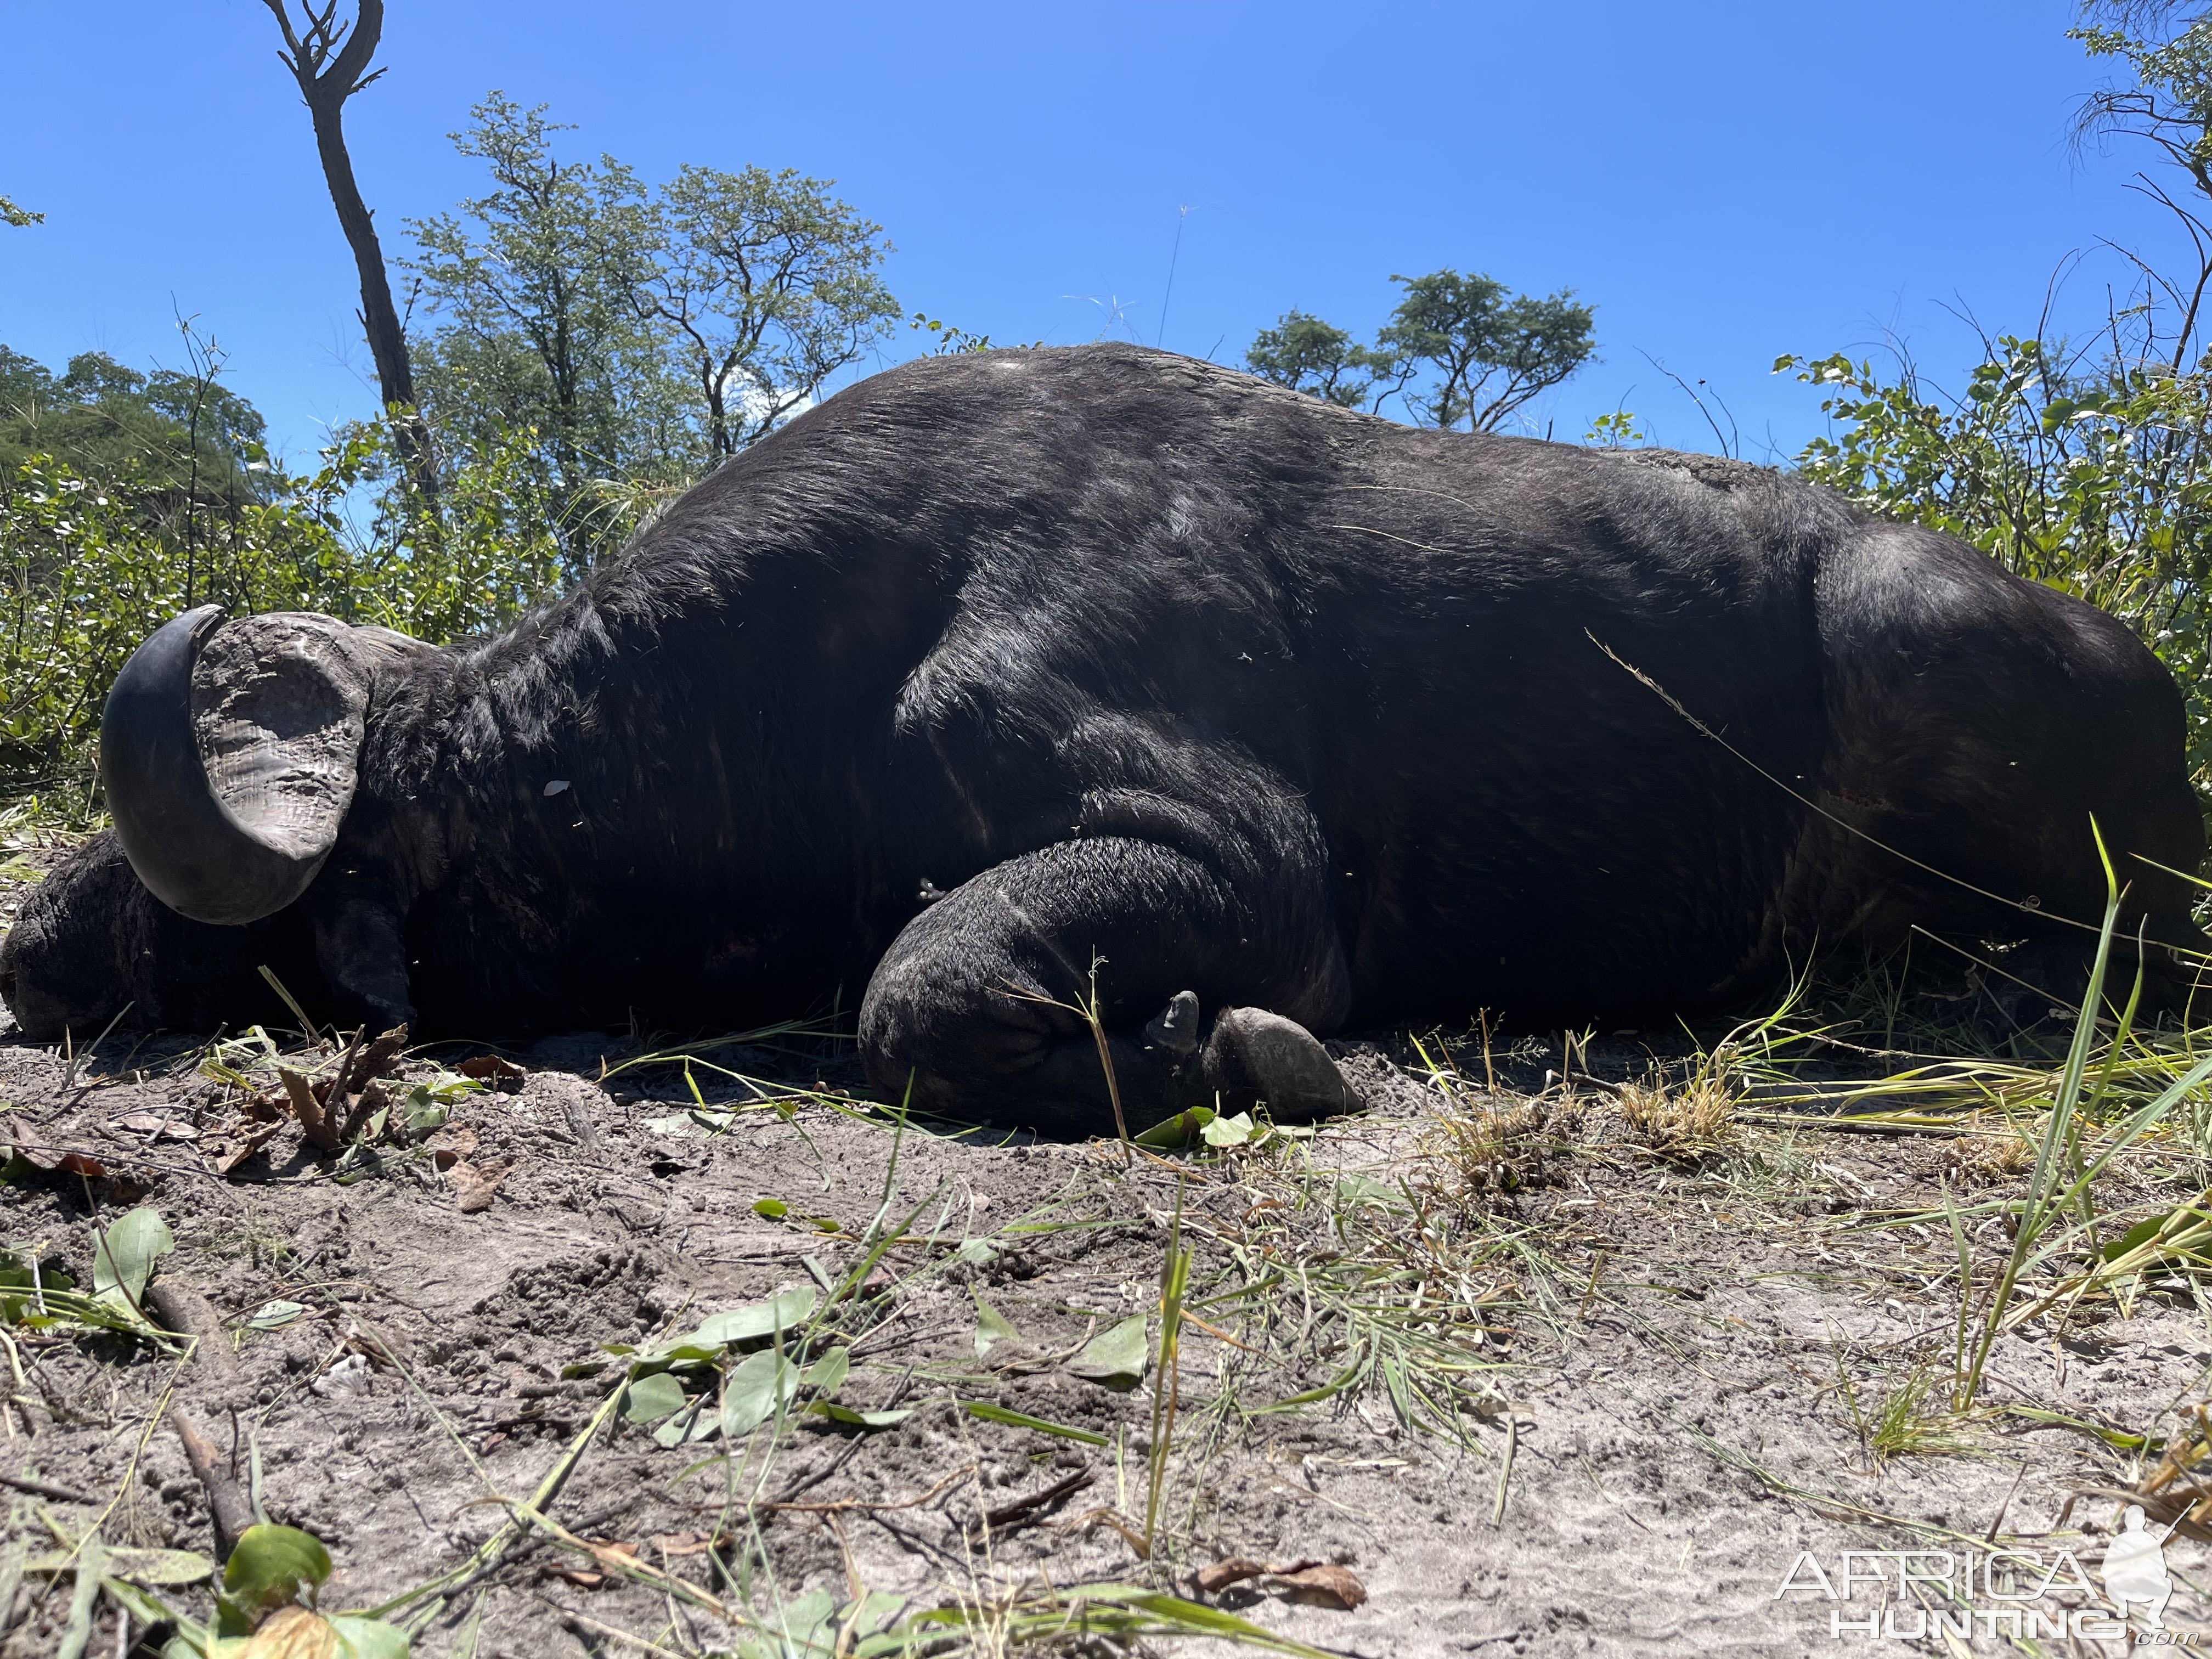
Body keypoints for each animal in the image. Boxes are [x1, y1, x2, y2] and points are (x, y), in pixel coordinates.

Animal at [4, 345, 2212, 1141]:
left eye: (169, 914)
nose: (24, 948)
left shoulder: (1240, 868)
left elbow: (913, 994)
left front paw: (1210, 1050)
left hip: (1932, 664)